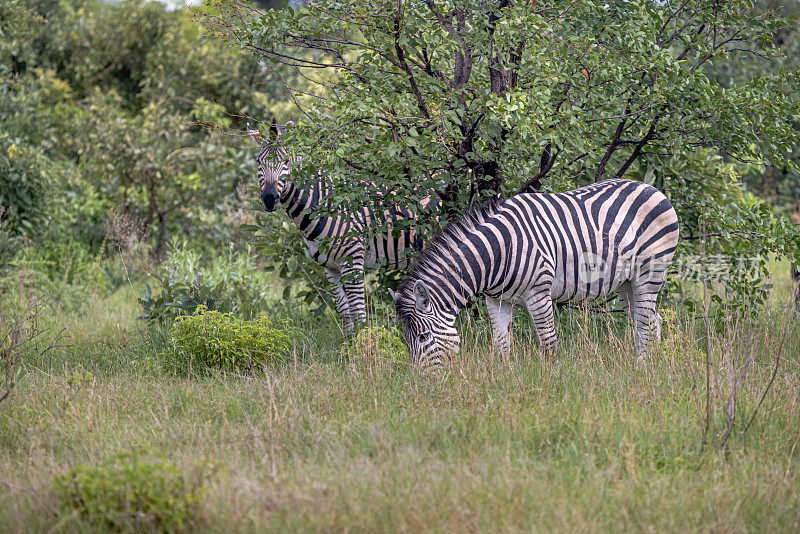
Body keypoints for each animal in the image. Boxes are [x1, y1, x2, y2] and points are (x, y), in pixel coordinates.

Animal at [250, 122, 438, 330]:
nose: (268, 198)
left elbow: (358, 311)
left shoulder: (353, 261)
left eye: (285, 162)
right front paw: (348, 337)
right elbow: (344, 312)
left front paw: (364, 337)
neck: (322, 206)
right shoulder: (330, 268)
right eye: (258, 162)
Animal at [394, 180, 680, 372]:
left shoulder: (538, 295)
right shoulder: (496, 300)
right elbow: (501, 345)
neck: (499, 251)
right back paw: (650, 366)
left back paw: (642, 369)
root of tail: (652, 188)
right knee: (650, 322)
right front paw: (503, 380)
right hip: (626, 283)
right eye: (407, 341)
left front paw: (552, 383)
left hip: (649, 272)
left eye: (423, 337)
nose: (423, 385)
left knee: (645, 325)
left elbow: (548, 343)